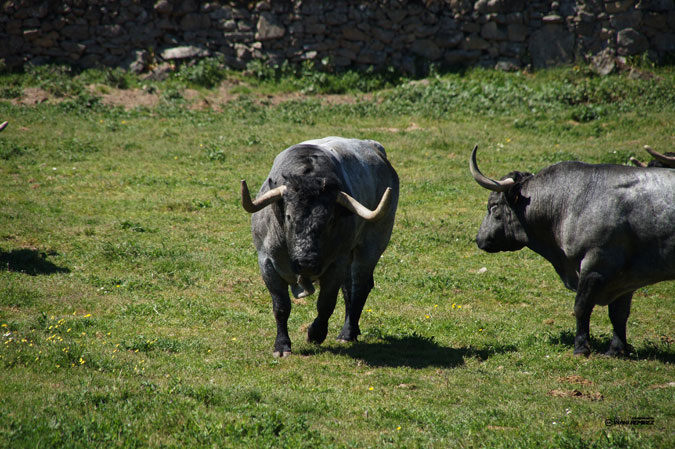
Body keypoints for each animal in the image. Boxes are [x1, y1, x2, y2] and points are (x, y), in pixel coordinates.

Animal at [242, 135, 398, 356]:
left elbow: (326, 304)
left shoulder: (336, 264)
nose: (307, 263)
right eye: (288, 217)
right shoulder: (267, 262)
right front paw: (282, 345)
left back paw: (347, 333)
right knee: (350, 289)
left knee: (359, 287)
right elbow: (281, 307)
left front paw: (315, 333)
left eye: (330, 220)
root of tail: (375, 147)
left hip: (371, 246)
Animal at [470, 147, 675, 356]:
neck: (567, 203)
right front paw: (616, 350)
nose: (479, 238)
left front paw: (581, 347)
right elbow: (619, 314)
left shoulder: (596, 264)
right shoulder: (625, 278)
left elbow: (581, 307)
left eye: (493, 206)